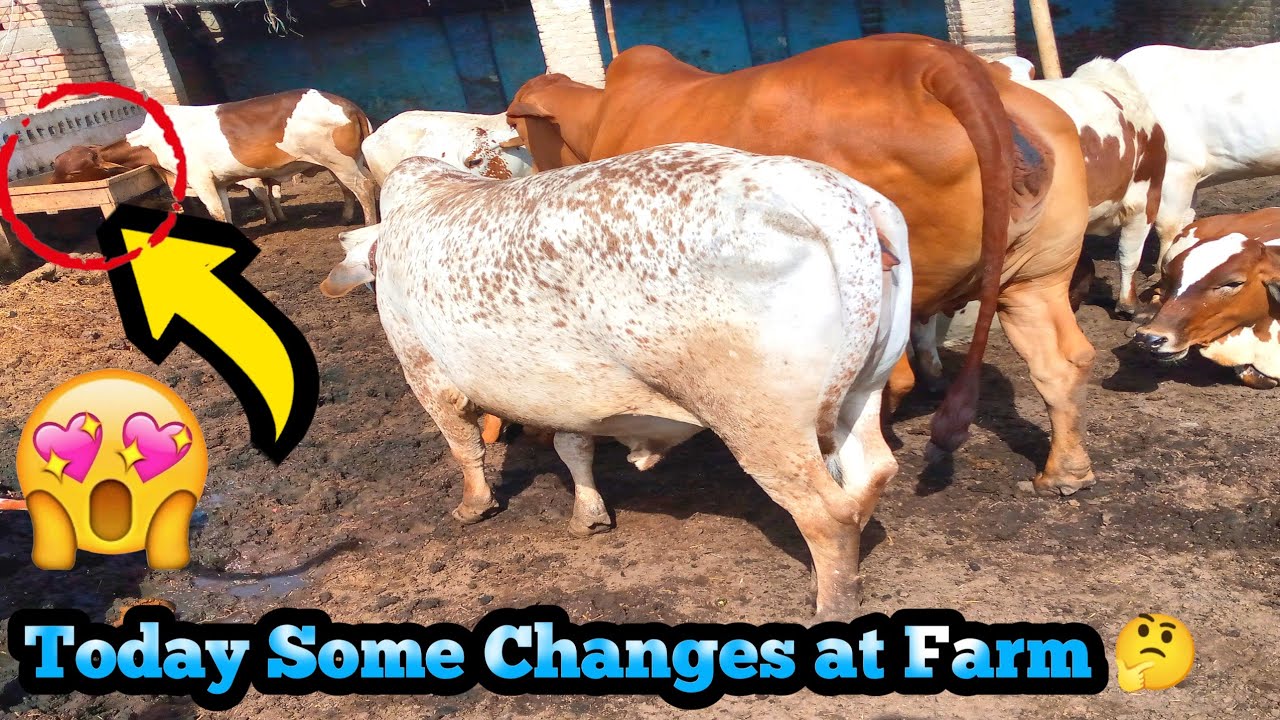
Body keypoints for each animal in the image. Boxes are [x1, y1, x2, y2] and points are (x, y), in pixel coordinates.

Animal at [51, 89, 378, 227]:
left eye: (71, 172)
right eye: (56, 164)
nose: (55, 184)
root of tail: (346, 104)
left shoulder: (200, 179)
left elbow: (216, 211)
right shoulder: (218, 182)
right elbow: (226, 211)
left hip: (339, 160)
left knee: (363, 187)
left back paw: (367, 223)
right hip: (345, 161)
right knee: (352, 188)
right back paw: (348, 217)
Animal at [321, 143, 913, 619]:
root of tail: (819, 187)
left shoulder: (423, 368)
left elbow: (464, 447)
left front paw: (473, 506)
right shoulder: (570, 391)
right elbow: (573, 447)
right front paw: (589, 515)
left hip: (761, 421)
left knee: (826, 513)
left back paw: (832, 607)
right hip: (861, 390)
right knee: (873, 473)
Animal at [507, 34, 1097, 495]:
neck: (602, 121)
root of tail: (939, 63)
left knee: (888, 382)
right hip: (1036, 279)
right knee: (1062, 359)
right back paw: (1065, 471)